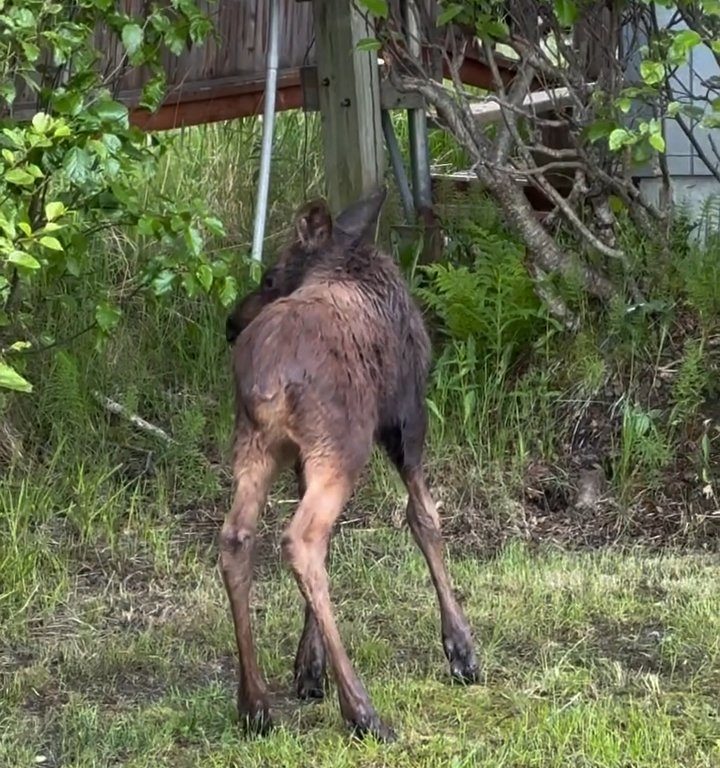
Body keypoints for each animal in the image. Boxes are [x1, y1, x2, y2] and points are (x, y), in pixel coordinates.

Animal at [222, 189, 476, 740]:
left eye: (269, 278)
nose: (230, 324)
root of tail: (266, 381)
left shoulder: (304, 459)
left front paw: (307, 666)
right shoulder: (407, 419)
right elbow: (424, 519)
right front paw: (461, 648)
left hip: (258, 445)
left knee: (237, 540)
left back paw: (255, 704)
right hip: (344, 446)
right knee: (301, 540)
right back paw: (361, 709)